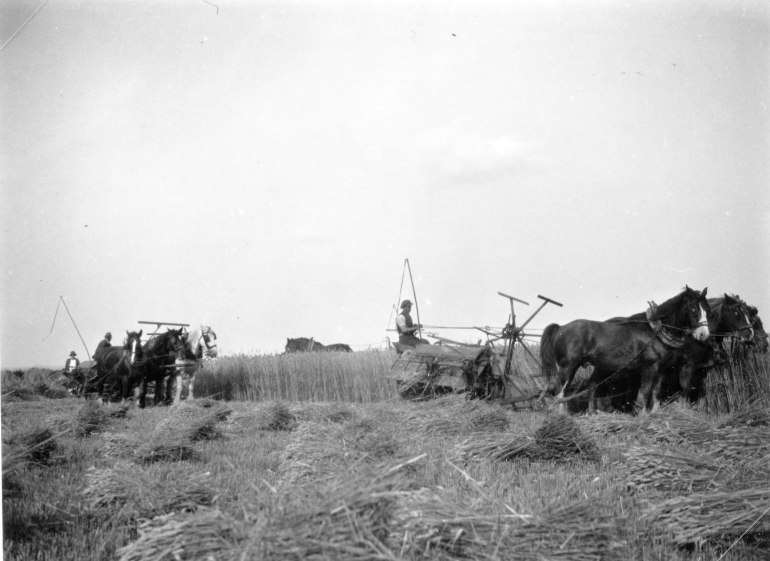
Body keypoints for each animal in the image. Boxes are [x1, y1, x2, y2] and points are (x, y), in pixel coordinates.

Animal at [536, 288, 712, 412]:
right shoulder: (650, 366)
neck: (655, 331)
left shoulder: (661, 369)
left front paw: (654, 413)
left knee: (579, 388)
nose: (704, 334)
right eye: (693, 309)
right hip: (568, 366)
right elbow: (645, 390)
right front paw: (642, 415)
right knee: (559, 391)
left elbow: (656, 391)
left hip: (584, 367)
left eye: (707, 310)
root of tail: (561, 328)